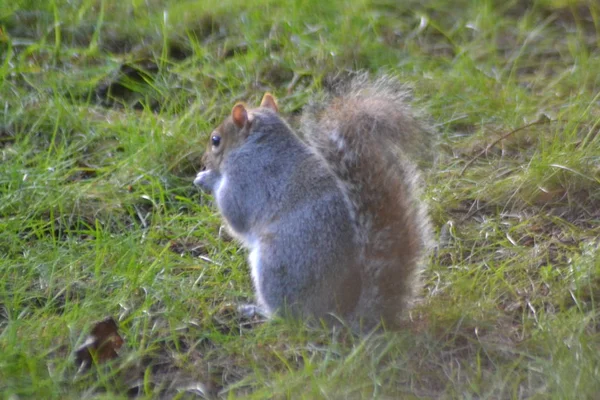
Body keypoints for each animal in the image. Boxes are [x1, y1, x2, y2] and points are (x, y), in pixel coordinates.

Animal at [195, 76, 434, 332]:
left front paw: (207, 179)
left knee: (288, 318)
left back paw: (257, 312)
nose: (203, 160)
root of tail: (335, 317)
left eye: (215, 140)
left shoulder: (246, 179)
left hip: (275, 267)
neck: (260, 144)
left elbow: (234, 214)